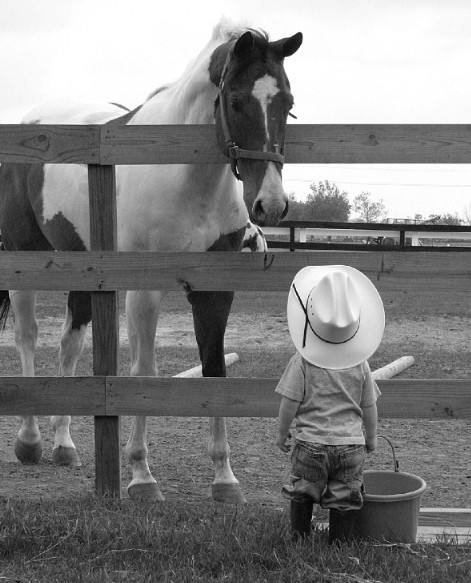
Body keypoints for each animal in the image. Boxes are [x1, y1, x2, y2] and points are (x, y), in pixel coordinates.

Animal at [0, 18, 302, 502]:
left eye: (287, 103)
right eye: (236, 101)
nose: (270, 205)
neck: (187, 180)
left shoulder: (215, 292)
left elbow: (215, 369)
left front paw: (225, 478)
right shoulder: (145, 290)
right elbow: (142, 372)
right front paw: (141, 476)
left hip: (81, 269)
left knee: (69, 342)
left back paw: (64, 444)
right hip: (24, 258)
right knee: (27, 337)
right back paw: (30, 441)